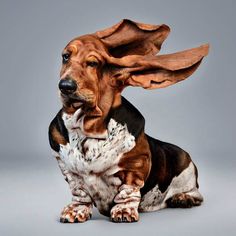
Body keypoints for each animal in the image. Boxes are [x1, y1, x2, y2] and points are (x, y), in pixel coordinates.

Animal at [48, 19, 208, 222]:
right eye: (65, 57)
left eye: (93, 63)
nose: (65, 86)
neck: (88, 130)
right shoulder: (69, 170)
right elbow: (79, 193)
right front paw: (76, 210)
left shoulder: (134, 169)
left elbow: (128, 192)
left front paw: (123, 211)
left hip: (188, 174)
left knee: (196, 194)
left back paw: (183, 198)